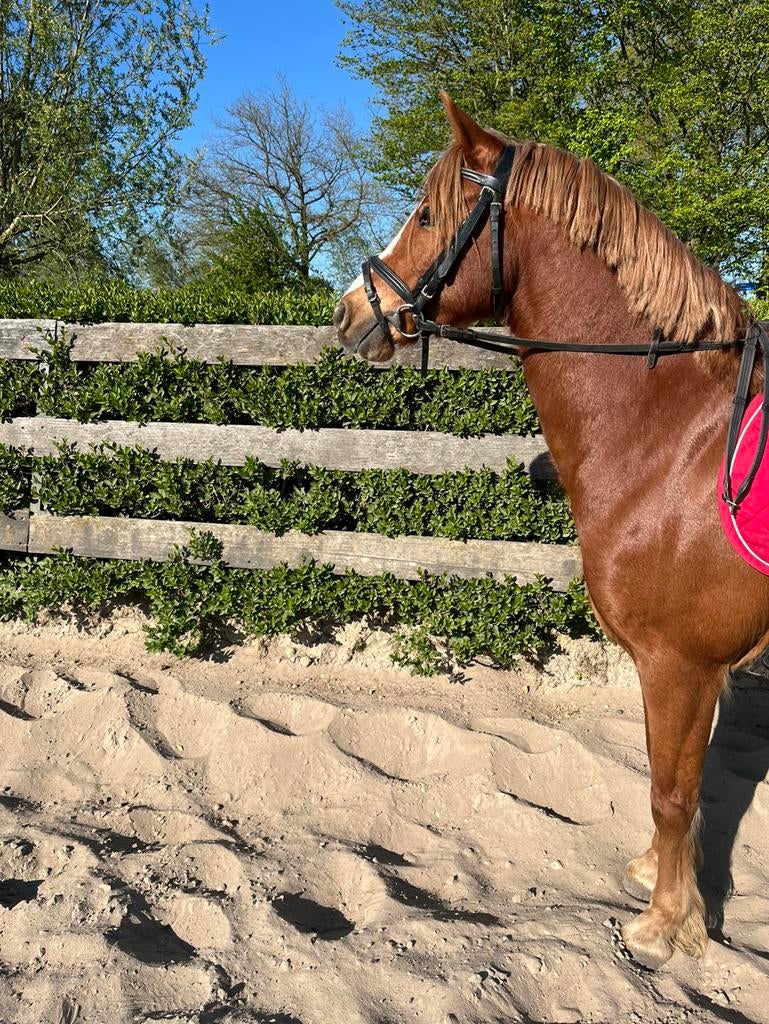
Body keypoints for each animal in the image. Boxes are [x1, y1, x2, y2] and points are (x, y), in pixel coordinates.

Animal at [333, 91, 769, 971]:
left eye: (427, 215)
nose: (349, 313)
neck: (676, 441)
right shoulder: (691, 672)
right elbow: (682, 784)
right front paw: (663, 885)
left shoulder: (678, 664)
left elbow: (671, 791)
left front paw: (663, 926)